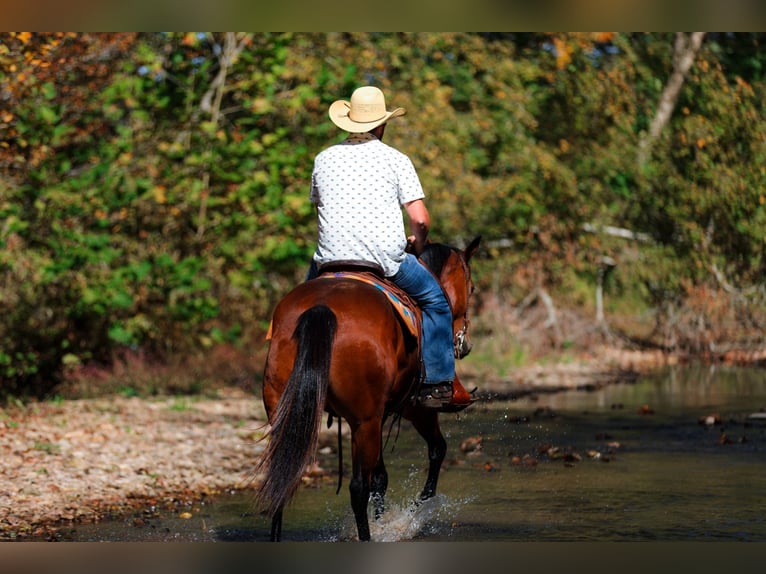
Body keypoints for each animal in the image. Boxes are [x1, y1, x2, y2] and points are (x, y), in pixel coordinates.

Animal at [255, 236, 481, 541]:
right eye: (471, 287)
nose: (464, 343)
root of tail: (321, 308)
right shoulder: (412, 408)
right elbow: (436, 450)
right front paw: (418, 508)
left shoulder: (377, 415)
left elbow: (381, 477)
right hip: (368, 421)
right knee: (358, 487)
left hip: (290, 412)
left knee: (283, 473)